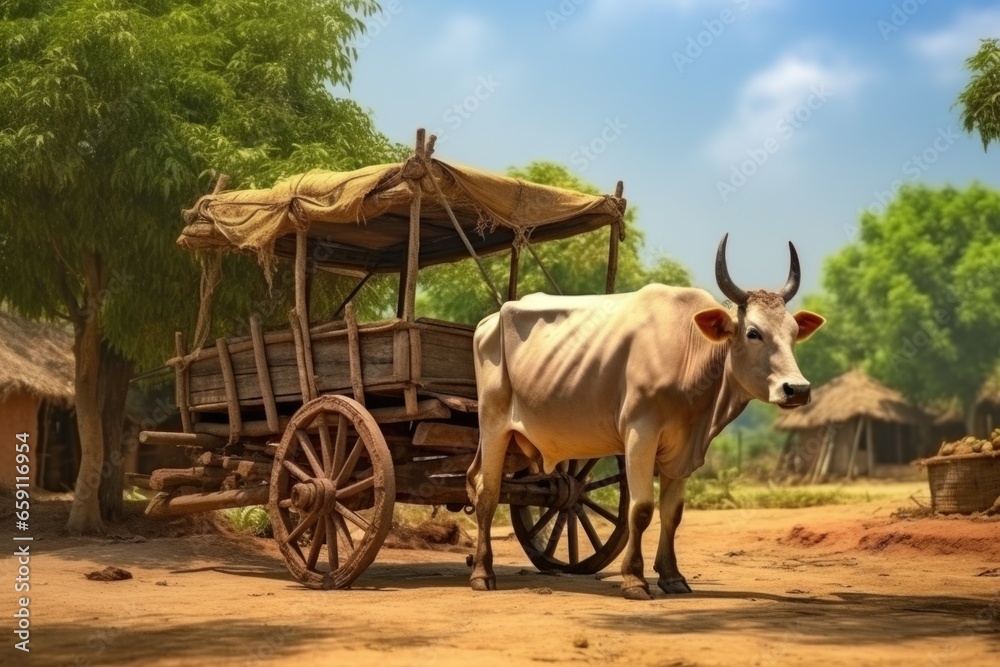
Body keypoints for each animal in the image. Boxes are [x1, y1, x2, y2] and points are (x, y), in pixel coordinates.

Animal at [466, 234, 824, 600]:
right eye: (753, 332)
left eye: (794, 332)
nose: (797, 389)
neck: (691, 351)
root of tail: (488, 321)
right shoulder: (641, 434)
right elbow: (640, 509)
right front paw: (635, 579)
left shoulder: (684, 449)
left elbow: (672, 514)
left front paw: (672, 576)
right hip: (493, 424)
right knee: (486, 492)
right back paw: (482, 572)